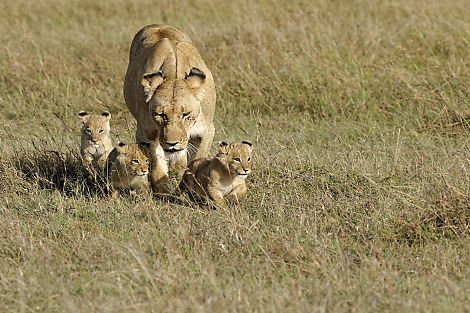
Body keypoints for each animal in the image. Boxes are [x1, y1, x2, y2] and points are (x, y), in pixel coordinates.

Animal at [122, 24, 216, 193]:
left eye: (186, 114)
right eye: (160, 114)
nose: (172, 143)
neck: (174, 74)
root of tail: (157, 25)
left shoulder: (207, 131)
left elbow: (196, 160)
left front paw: (188, 189)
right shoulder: (145, 134)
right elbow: (156, 165)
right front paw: (164, 191)